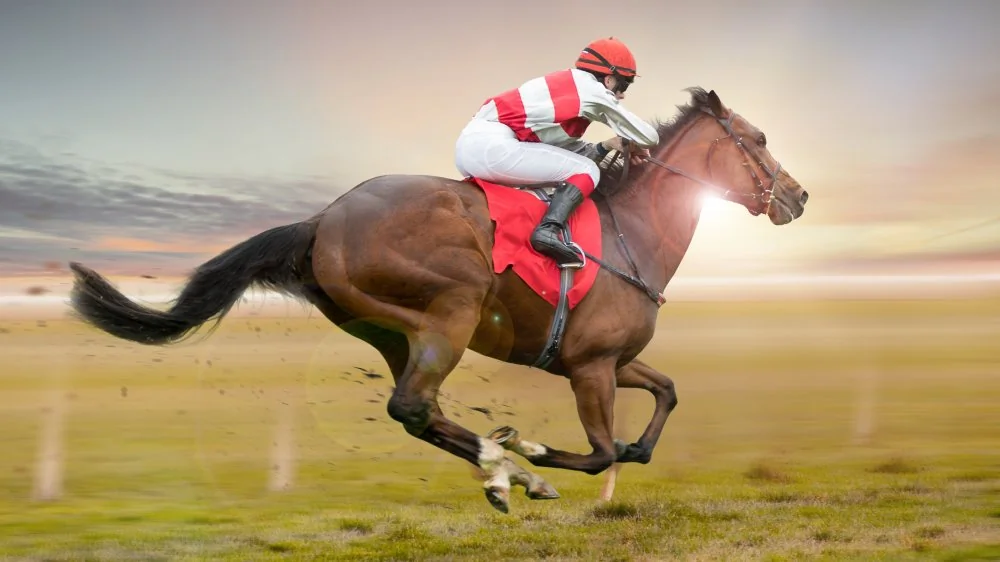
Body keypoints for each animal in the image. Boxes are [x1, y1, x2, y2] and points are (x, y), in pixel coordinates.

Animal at [67, 87, 808, 513]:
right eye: (760, 139)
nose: (798, 196)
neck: (634, 232)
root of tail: (322, 220)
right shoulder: (591, 367)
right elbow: (601, 451)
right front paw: (538, 454)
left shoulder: (608, 360)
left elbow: (664, 399)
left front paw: (602, 454)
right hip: (449, 312)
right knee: (414, 407)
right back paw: (514, 470)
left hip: (394, 332)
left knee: (417, 413)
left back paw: (504, 472)